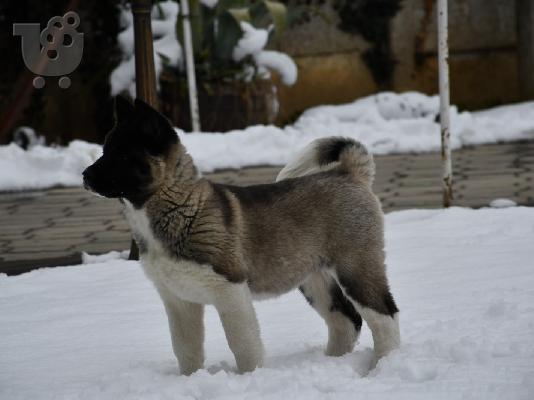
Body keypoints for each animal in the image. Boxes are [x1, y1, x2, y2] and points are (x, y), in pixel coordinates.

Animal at [84, 97, 400, 376]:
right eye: (105, 150)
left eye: (122, 155)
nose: (85, 176)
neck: (180, 205)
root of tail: (348, 172)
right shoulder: (178, 300)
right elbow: (186, 349)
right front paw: (189, 379)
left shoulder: (230, 289)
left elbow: (243, 344)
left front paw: (250, 377)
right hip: (314, 279)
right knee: (345, 321)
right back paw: (333, 362)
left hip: (355, 267)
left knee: (384, 316)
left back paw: (383, 365)